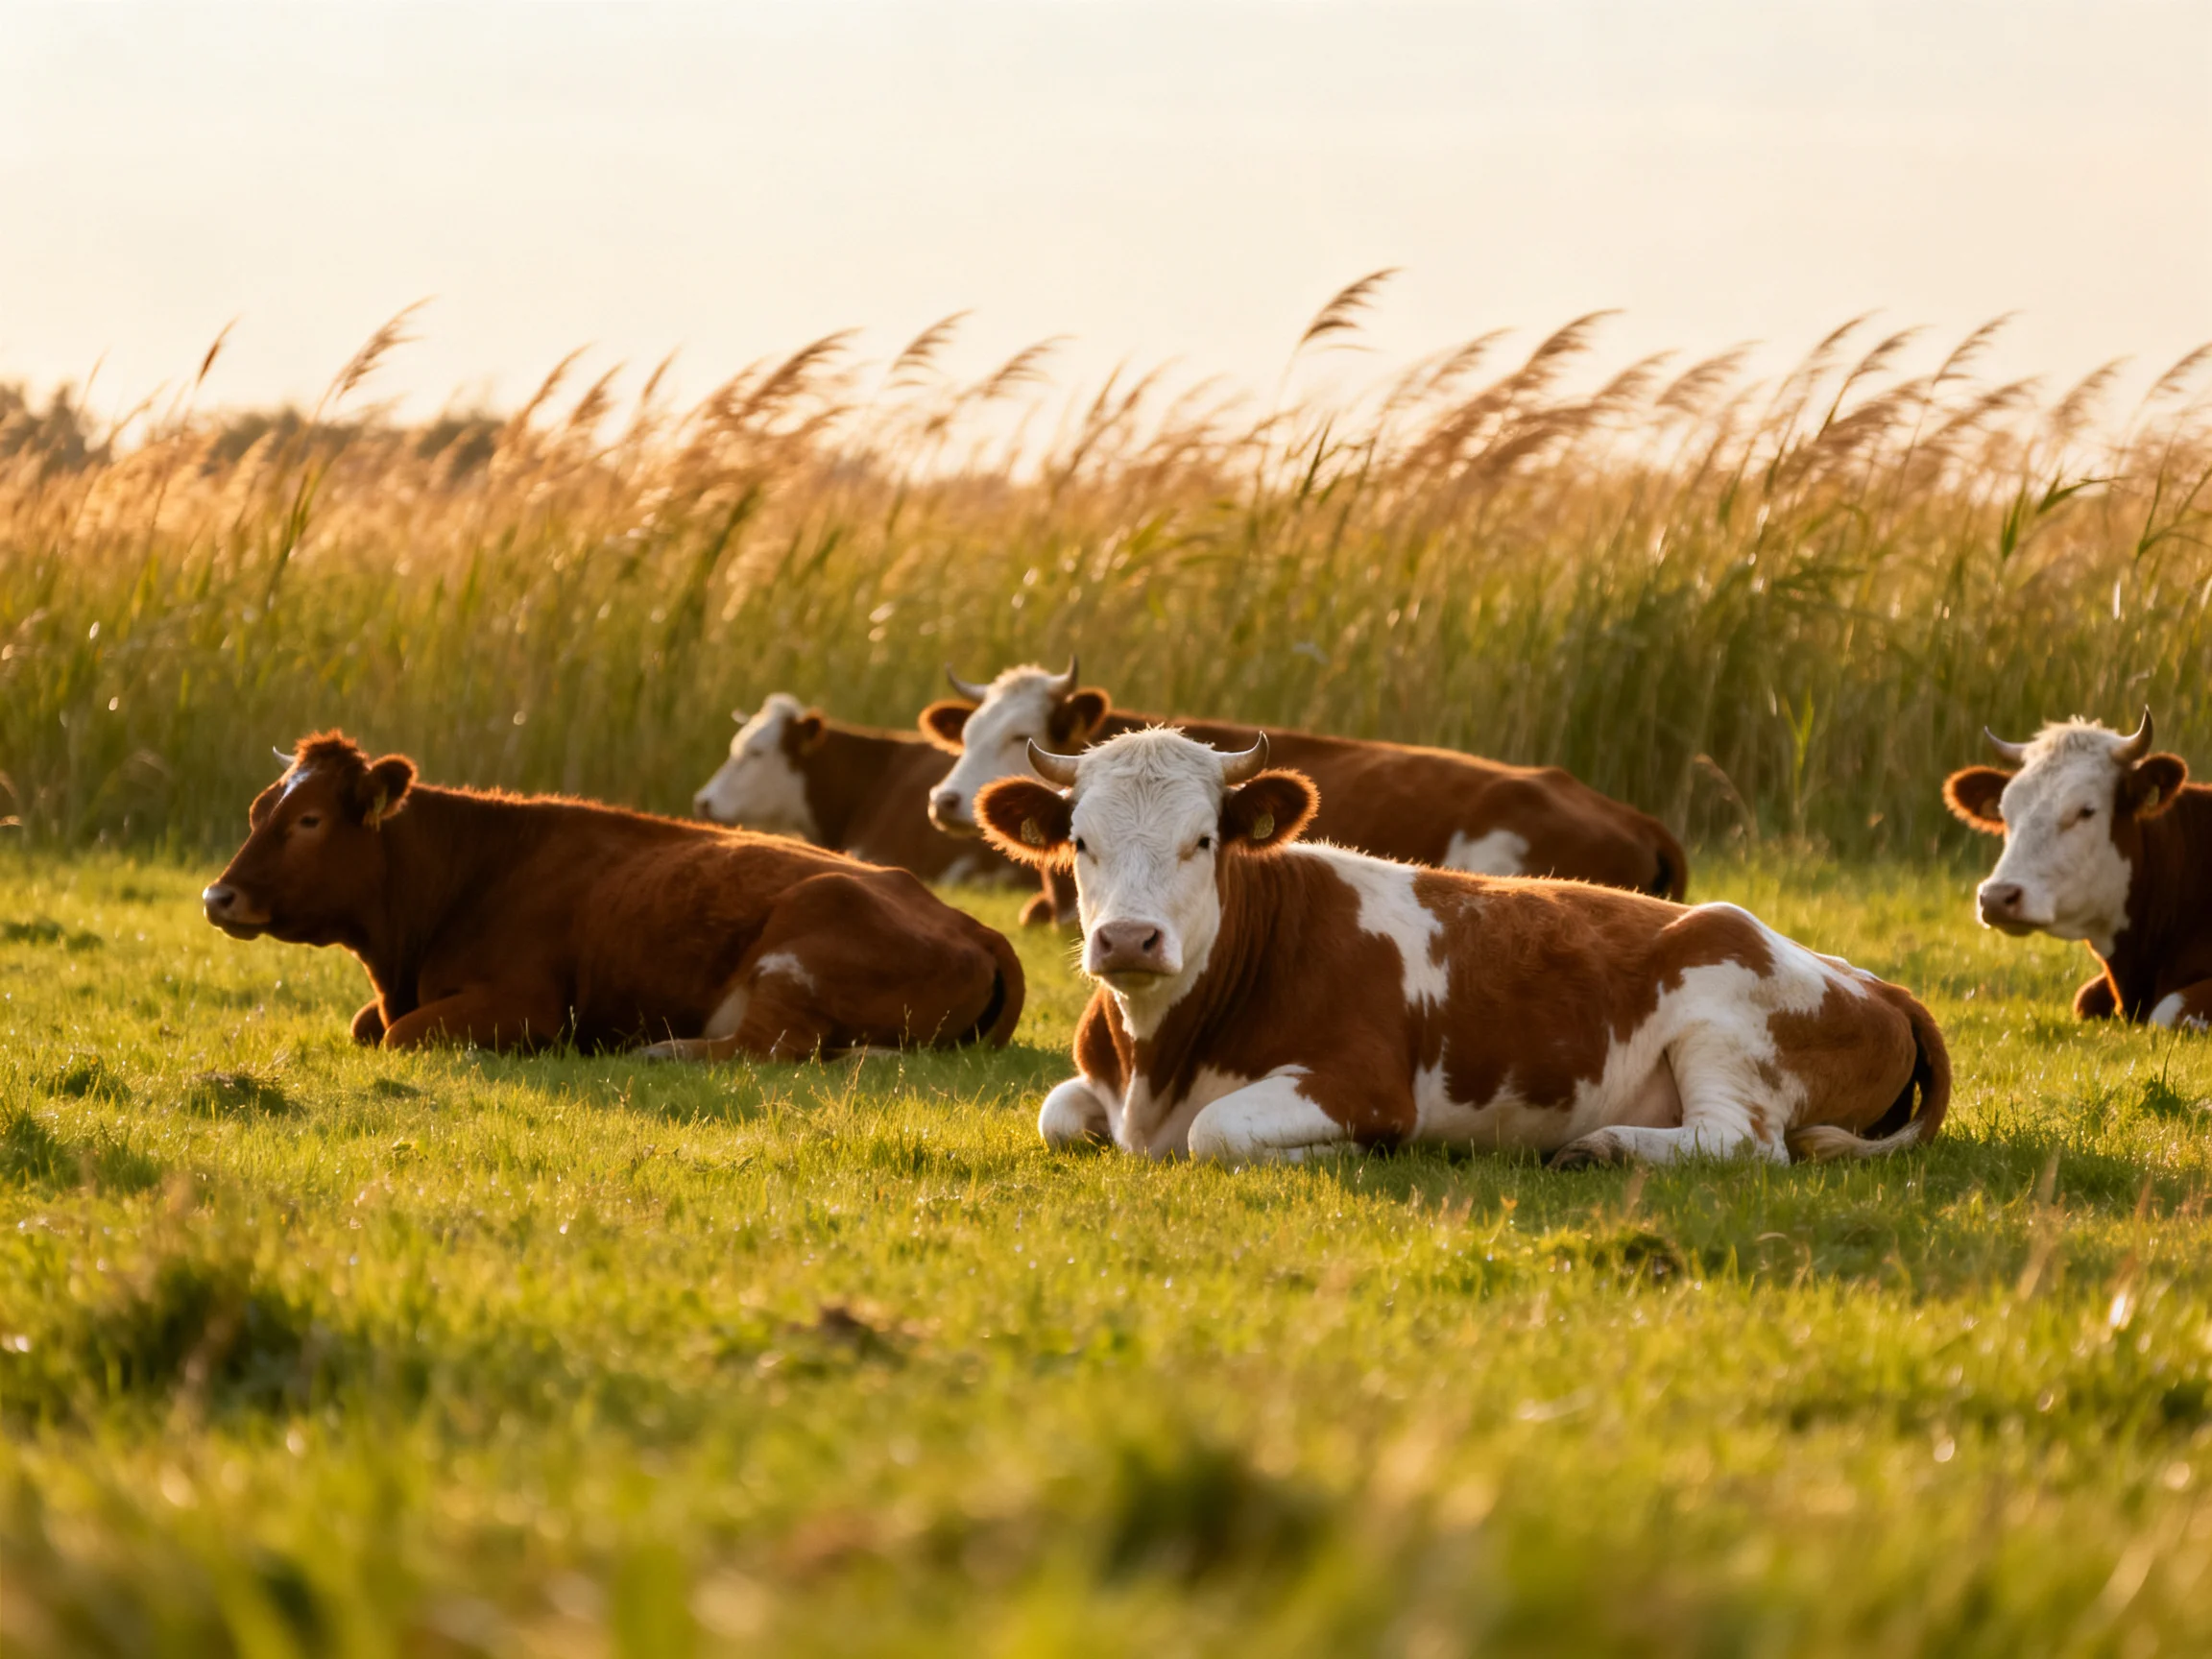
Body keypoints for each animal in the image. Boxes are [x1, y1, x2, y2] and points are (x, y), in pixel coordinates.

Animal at [203, 731, 1025, 1059]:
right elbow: (366, 1025)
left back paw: (660, 1051)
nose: (219, 896)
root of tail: (977, 929)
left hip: (804, 943)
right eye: (255, 810)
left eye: (308, 820)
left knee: (770, 1048)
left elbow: (396, 1035)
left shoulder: (527, 1006)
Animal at [975, 728, 1948, 1166]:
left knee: (1741, 1143)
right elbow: (1057, 1112)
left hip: (1723, 1006)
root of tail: (1875, 982)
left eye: (1202, 840)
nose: (1128, 938)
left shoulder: (1363, 1083)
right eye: (1080, 842)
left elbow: (1218, 1131)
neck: (1158, 1065)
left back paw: (1599, 1146)